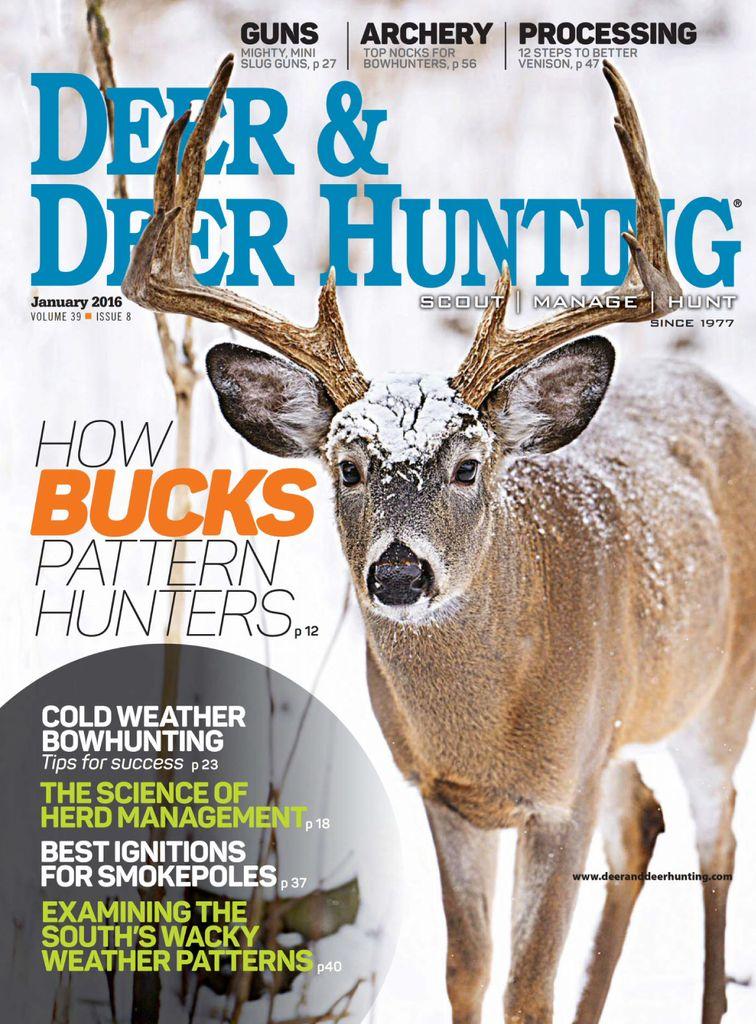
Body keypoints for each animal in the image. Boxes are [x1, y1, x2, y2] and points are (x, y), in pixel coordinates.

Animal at [123, 55, 756, 1024]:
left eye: (466, 464)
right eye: (347, 466)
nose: (397, 573)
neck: (486, 725)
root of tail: (718, 391)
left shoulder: (558, 794)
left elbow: (527, 985)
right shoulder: (446, 791)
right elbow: (470, 965)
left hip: (720, 695)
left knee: (715, 838)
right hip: (623, 730)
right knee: (642, 824)